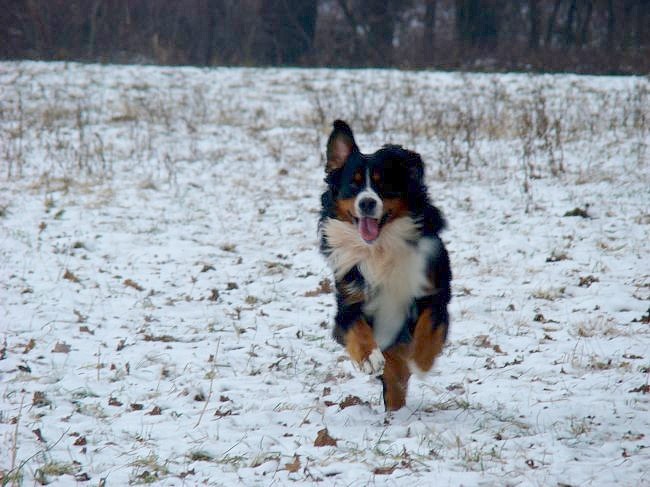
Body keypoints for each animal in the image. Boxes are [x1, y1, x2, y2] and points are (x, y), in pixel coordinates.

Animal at [316, 120, 448, 410]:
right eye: (353, 185)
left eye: (383, 184)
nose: (367, 202)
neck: (379, 247)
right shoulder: (348, 300)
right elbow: (356, 328)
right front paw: (368, 359)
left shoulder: (434, 291)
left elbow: (429, 325)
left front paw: (422, 359)